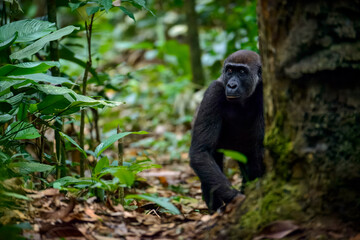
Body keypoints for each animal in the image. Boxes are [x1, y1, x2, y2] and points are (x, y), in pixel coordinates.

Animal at [188, 49, 264, 211]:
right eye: (229, 71)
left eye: (242, 72)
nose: (232, 85)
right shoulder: (213, 92)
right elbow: (201, 152)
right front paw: (237, 198)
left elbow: (260, 148)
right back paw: (215, 209)